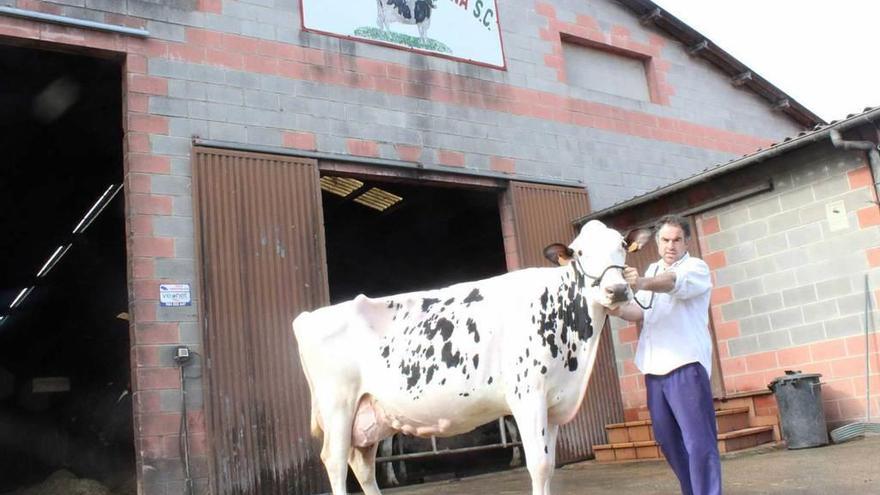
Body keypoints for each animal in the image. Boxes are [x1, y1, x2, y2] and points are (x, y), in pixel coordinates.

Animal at [292, 222, 648, 495]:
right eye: (579, 253)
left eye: (622, 245)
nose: (617, 290)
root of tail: (311, 315)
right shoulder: (527, 395)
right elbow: (540, 464)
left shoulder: (554, 404)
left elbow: (549, 466)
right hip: (338, 405)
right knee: (336, 462)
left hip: (368, 414)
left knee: (362, 466)